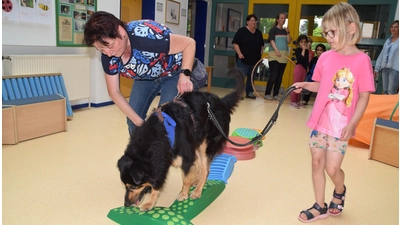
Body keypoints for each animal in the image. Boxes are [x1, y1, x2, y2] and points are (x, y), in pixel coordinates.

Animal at [117, 67, 245, 210]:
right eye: (125, 186)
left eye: (133, 186)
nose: (126, 204)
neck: (162, 133)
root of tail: (222, 102)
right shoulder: (164, 160)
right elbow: (158, 183)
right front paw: (151, 202)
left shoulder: (185, 158)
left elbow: (185, 179)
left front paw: (183, 194)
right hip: (197, 143)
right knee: (200, 166)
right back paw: (197, 181)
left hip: (206, 145)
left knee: (206, 169)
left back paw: (197, 190)